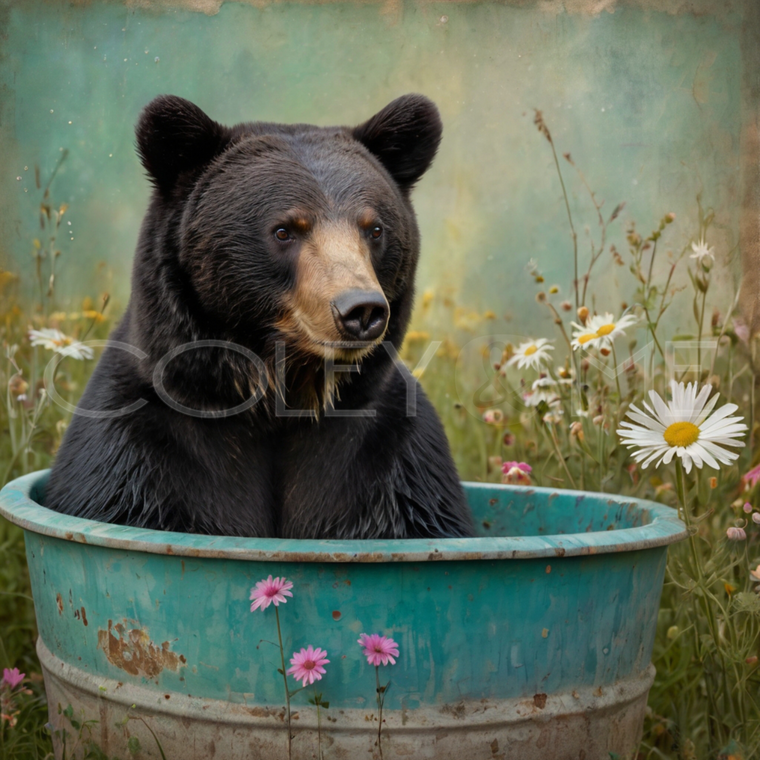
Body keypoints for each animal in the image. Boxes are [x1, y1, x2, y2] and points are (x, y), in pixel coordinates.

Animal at [44, 94, 475, 540]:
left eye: (374, 229)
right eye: (285, 230)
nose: (360, 310)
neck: (279, 399)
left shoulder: (388, 458)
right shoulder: (140, 452)